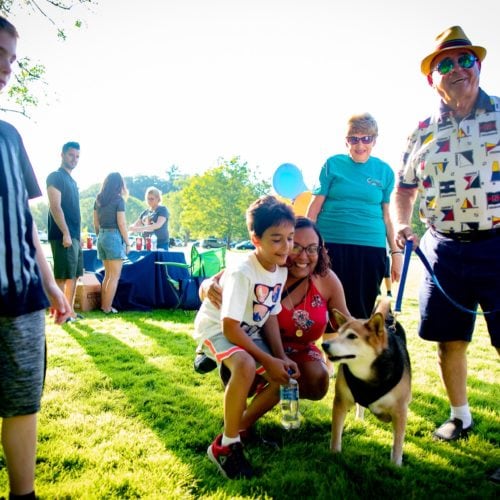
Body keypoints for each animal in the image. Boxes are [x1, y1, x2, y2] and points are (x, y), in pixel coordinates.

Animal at [322, 298, 412, 466]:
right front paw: (334, 453)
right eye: (338, 333)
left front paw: (396, 465)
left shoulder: (400, 410)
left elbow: (398, 443)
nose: (324, 345)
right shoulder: (340, 401)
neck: (366, 374)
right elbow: (336, 432)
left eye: (352, 336)